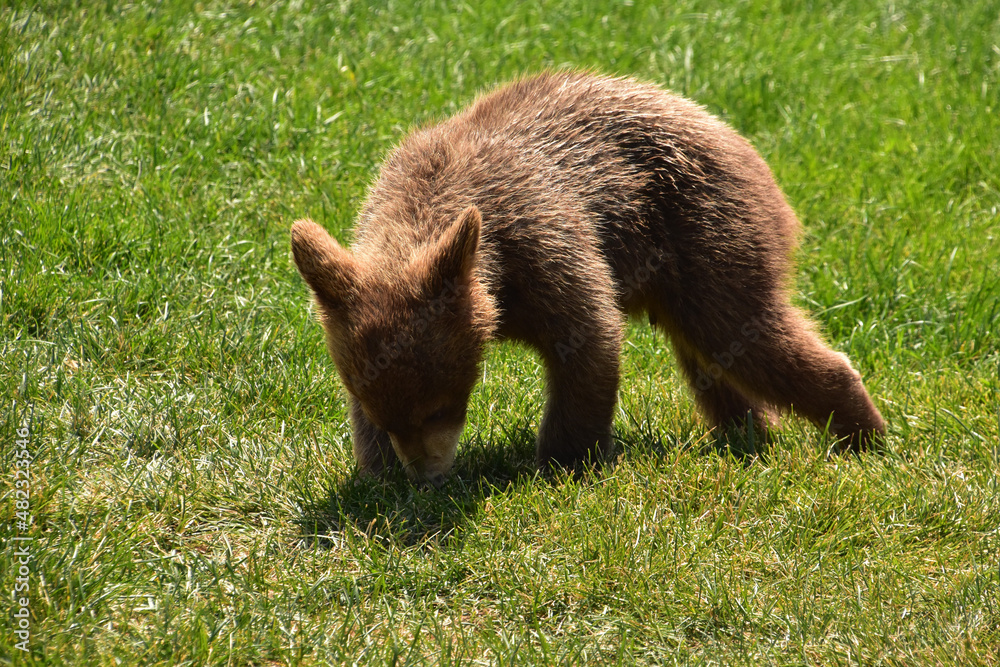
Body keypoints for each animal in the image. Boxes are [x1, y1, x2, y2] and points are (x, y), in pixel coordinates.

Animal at [291, 71, 886, 487]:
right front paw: (378, 474)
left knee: (745, 333)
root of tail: (736, 137)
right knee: (711, 358)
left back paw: (862, 434)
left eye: (440, 404)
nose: (426, 475)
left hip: (706, 231)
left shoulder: (544, 237)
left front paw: (562, 461)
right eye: (382, 411)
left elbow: (586, 339)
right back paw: (749, 433)